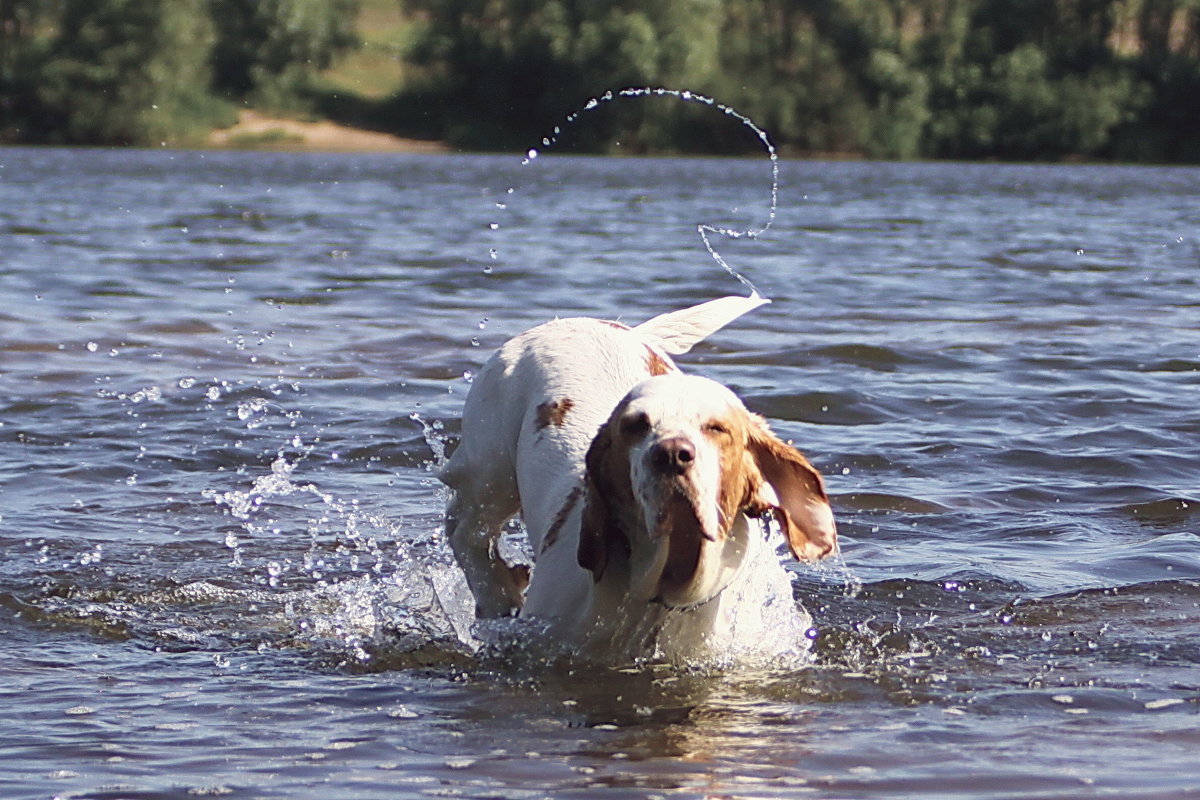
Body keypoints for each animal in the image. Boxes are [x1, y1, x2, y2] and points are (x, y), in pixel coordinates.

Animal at [436, 296, 840, 662]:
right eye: (636, 425)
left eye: (716, 428)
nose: (672, 454)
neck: (660, 597)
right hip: (490, 474)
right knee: (465, 529)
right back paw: (496, 591)